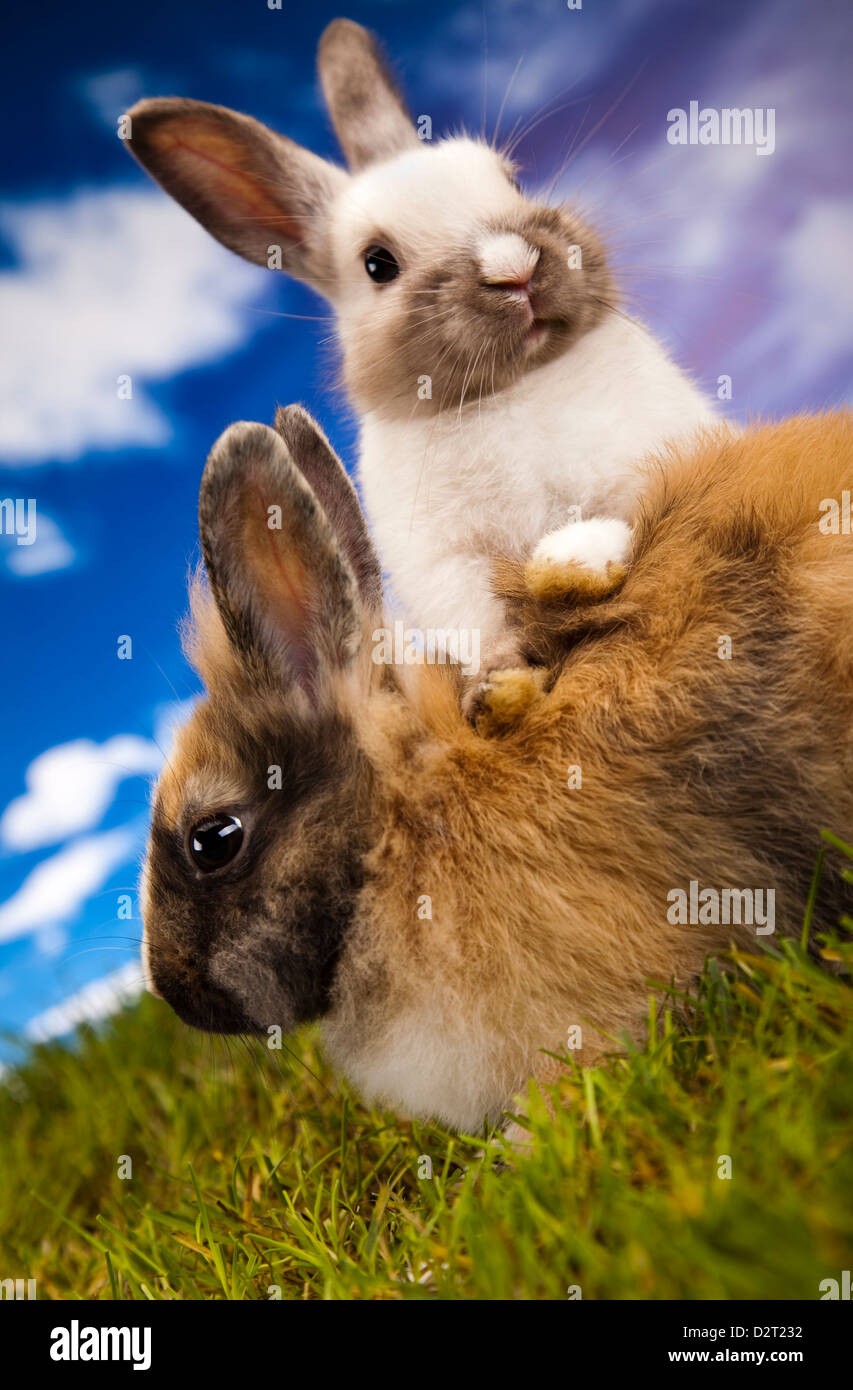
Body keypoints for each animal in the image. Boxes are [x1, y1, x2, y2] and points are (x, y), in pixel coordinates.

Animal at [124, 17, 720, 709]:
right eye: (377, 264)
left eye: (514, 180)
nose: (516, 268)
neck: (510, 391)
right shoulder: (446, 569)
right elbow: (482, 625)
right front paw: (499, 690)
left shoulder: (646, 466)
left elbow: (630, 521)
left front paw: (576, 563)